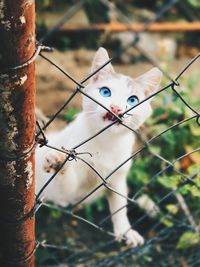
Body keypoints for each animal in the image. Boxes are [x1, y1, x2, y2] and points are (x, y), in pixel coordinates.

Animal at [34, 47, 162, 247]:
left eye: (133, 100)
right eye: (105, 92)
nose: (116, 108)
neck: (105, 142)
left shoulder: (118, 176)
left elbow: (119, 206)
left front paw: (125, 231)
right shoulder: (70, 191)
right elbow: (66, 184)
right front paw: (58, 163)